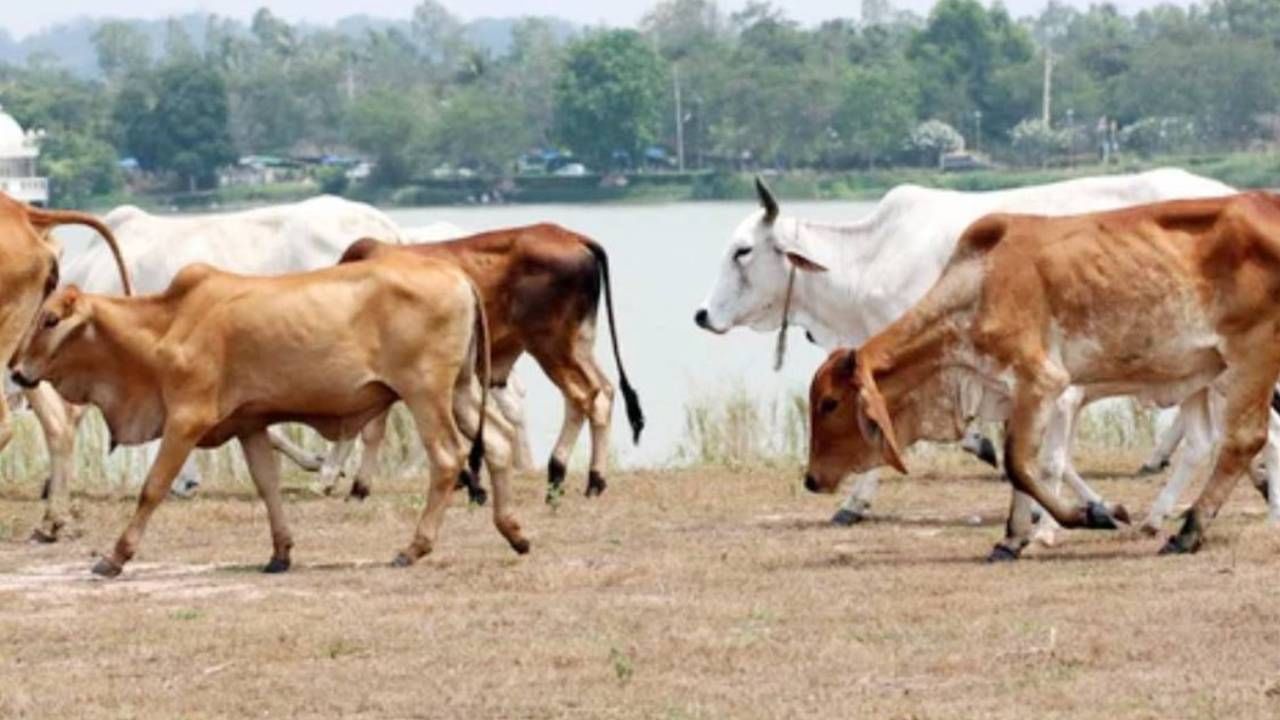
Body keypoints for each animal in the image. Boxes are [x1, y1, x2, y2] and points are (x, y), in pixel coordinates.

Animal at [340, 222, 645, 499]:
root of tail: (572, 237)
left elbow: (374, 430)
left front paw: (356, 487)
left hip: (551, 346)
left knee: (583, 395)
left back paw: (560, 474)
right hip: (579, 344)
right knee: (603, 392)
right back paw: (593, 479)